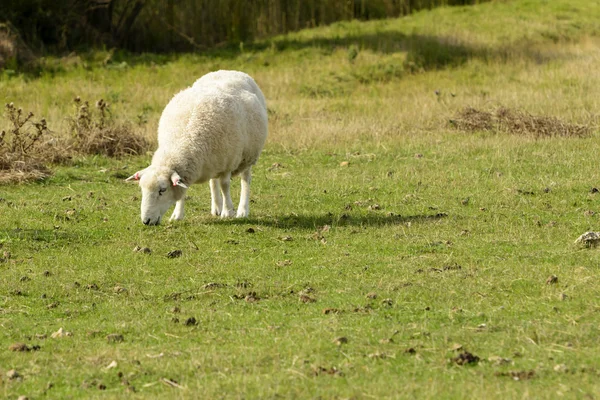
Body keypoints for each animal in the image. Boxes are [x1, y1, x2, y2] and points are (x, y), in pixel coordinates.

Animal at [126, 69, 268, 225]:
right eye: (142, 189)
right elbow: (183, 191)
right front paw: (177, 214)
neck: (184, 141)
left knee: (245, 179)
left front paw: (228, 212)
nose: (146, 221)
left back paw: (242, 210)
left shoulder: (228, 162)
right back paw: (216, 207)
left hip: (248, 155)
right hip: (214, 160)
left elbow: (225, 186)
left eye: (162, 190)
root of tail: (230, 71)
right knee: (213, 181)